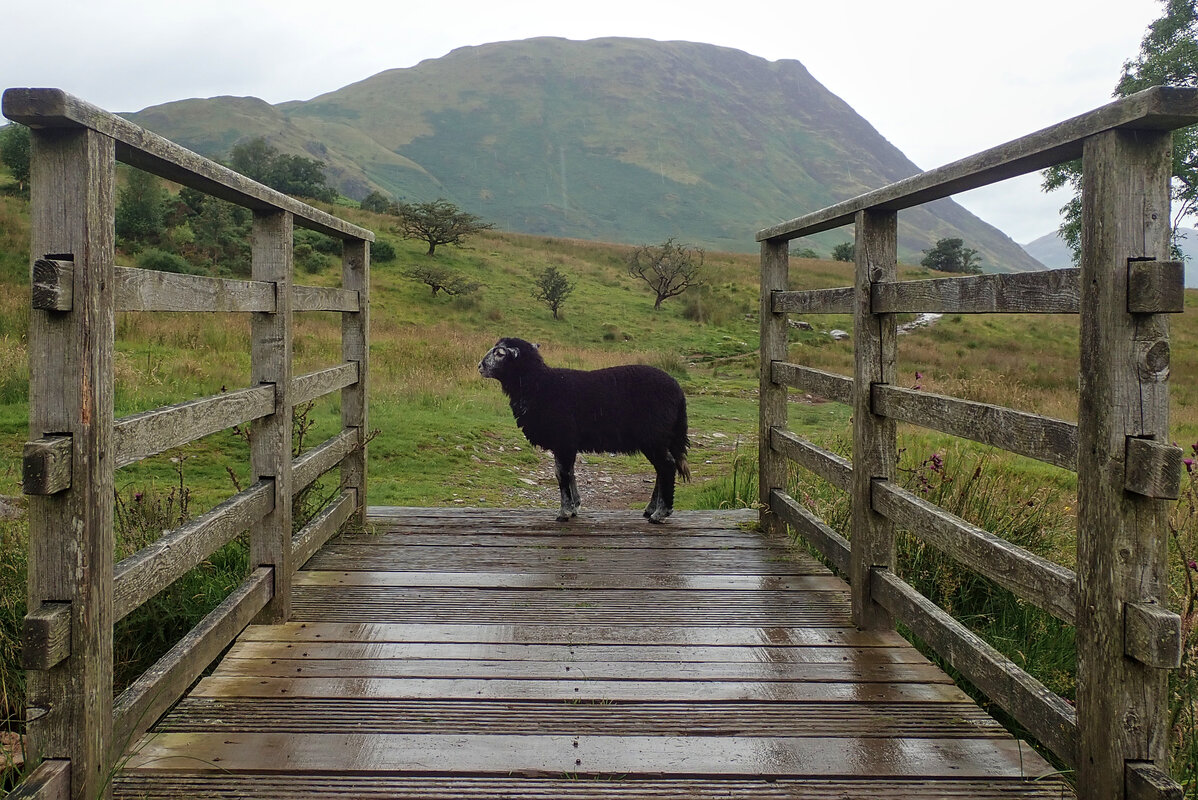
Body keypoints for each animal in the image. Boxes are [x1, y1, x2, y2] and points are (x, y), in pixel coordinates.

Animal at [479, 340, 694, 522]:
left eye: (500, 353)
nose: (479, 367)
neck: (539, 385)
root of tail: (678, 392)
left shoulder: (563, 439)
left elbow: (562, 473)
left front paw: (564, 512)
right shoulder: (567, 443)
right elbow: (568, 472)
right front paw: (575, 507)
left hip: (653, 435)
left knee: (666, 466)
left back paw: (660, 513)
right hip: (661, 436)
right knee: (663, 468)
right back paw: (651, 509)